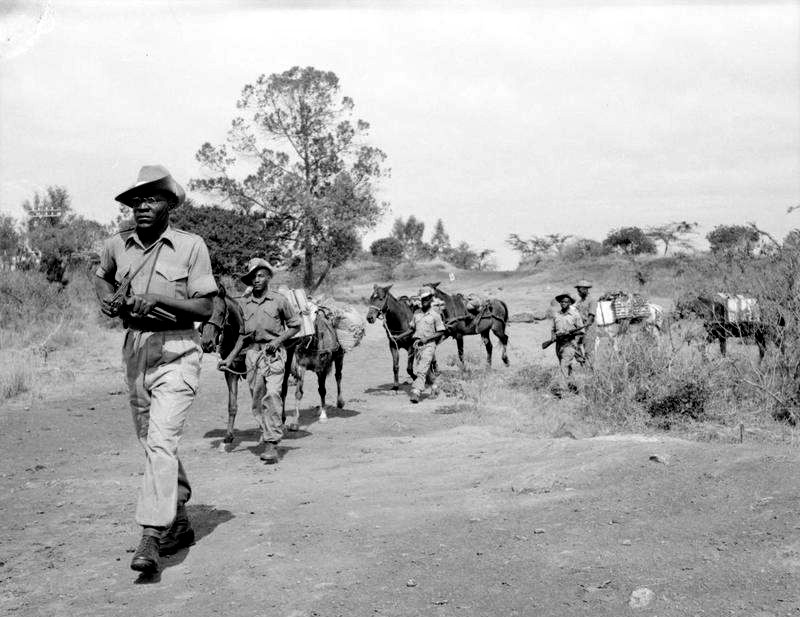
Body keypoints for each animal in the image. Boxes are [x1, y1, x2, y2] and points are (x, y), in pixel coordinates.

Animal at [200, 288, 344, 442]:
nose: (206, 344)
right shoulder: (230, 371)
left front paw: (264, 431)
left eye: (221, 313)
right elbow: (232, 405)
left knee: (290, 389)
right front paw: (228, 436)